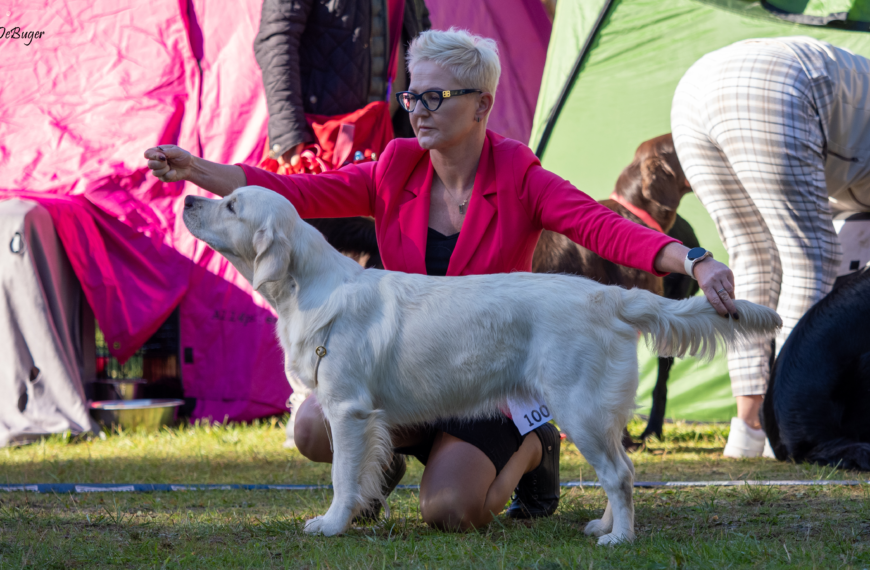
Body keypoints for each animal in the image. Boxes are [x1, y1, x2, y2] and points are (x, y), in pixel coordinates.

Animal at [184, 185, 784, 540]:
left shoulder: (348, 408)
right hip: (598, 413)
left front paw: (331, 523)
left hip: (579, 409)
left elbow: (341, 474)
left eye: (232, 205)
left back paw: (620, 537)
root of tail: (609, 295)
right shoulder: (360, 414)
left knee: (617, 473)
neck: (308, 286)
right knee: (622, 470)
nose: (188, 198)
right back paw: (603, 525)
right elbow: (363, 471)